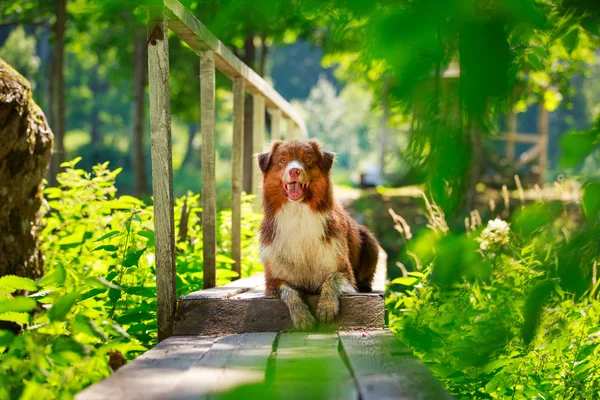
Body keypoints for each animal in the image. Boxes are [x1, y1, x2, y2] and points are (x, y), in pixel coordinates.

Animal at [258, 139, 380, 330]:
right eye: (283, 160)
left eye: (307, 159)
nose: (294, 170)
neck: (299, 214)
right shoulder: (273, 280)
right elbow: (289, 292)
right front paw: (301, 316)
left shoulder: (343, 271)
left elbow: (331, 279)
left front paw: (326, 307)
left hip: (370, 240)